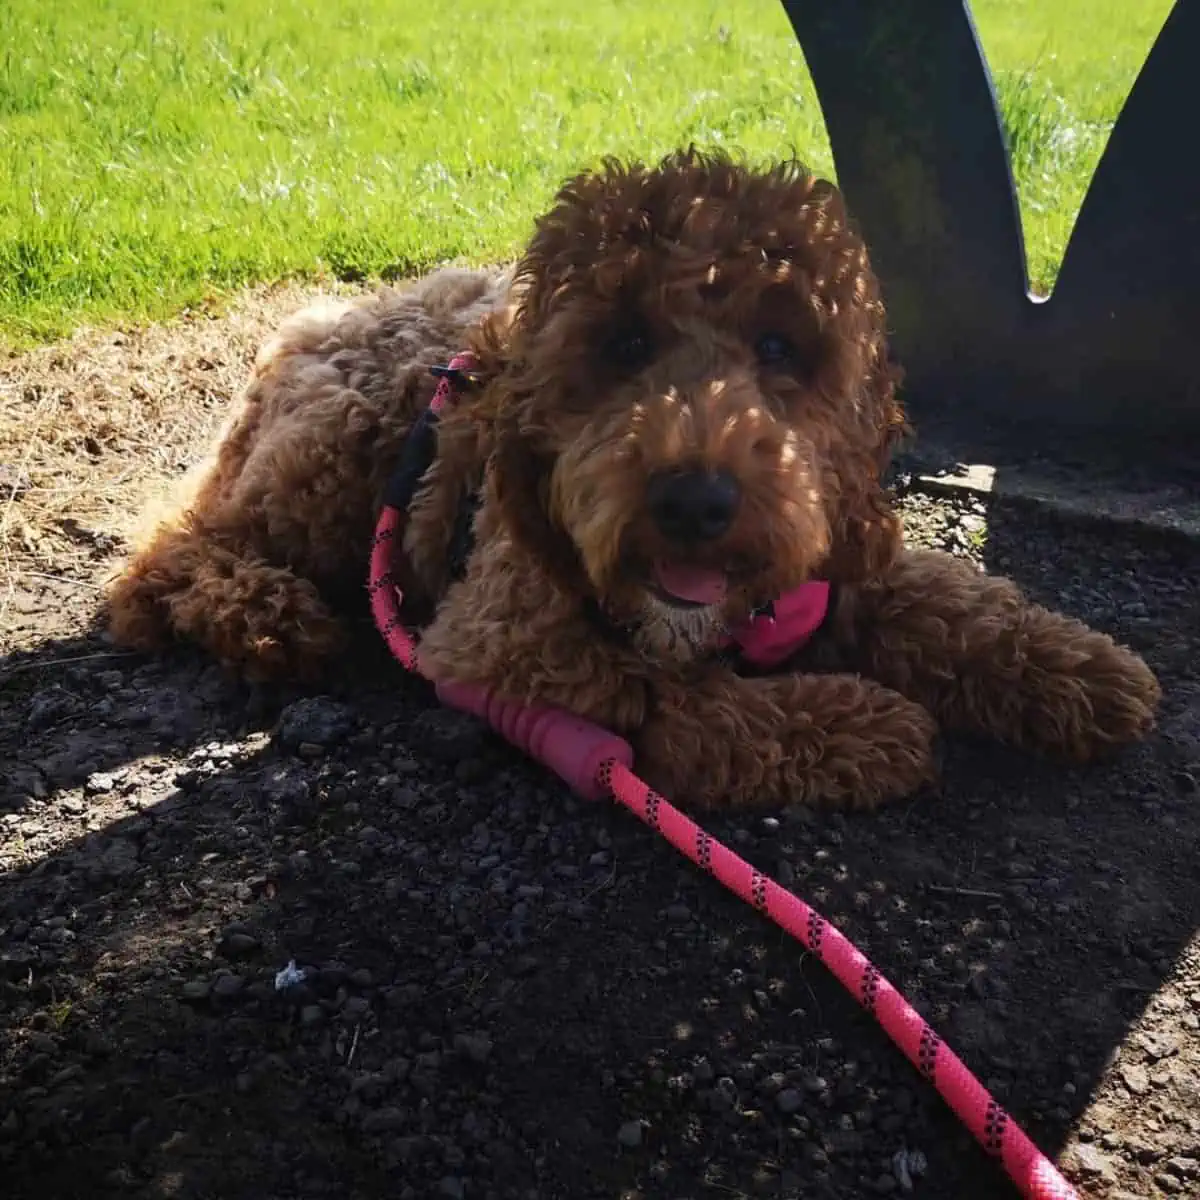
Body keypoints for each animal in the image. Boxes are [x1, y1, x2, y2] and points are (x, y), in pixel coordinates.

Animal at [105, 147, 1161, 806]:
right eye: (622, 346)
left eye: (781, 346)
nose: (695, 500)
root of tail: (314, 322)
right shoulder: (497, 641)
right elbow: (673, 701)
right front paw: (863, 726)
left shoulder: (840, 559)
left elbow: (955, 606)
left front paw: (1076, 670)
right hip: (335, 458)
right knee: (166, 550)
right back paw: (265, 615)